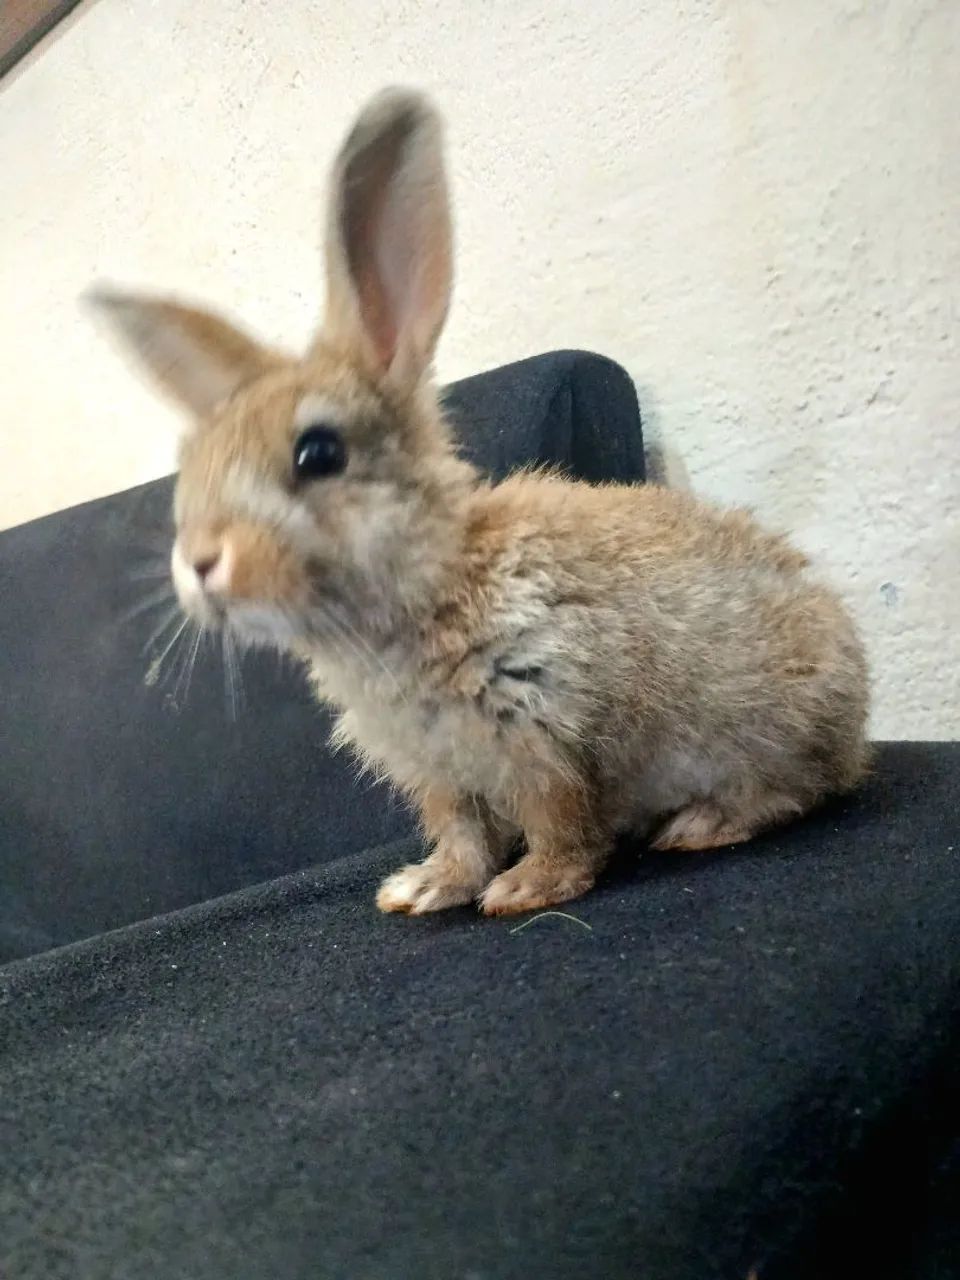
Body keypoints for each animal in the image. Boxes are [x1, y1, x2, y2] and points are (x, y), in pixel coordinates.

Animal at [89, 87, 869, 917]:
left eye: (318, 454)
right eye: (191, 465)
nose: (200, 564)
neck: (426, 584)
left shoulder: (546, 730)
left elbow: (562, 819)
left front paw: (526, 890)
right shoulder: (439, 771)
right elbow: (461, 831)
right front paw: (425, 889)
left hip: (775, 727)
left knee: (803, 788)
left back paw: (701, 824)